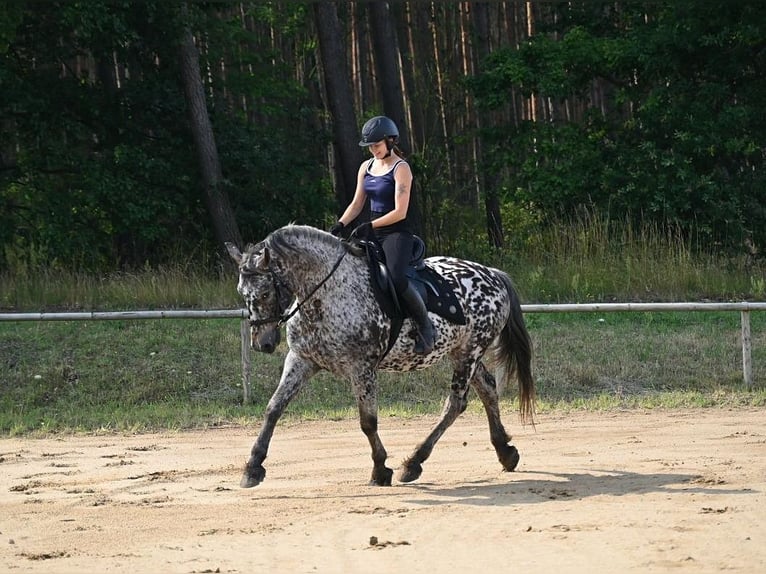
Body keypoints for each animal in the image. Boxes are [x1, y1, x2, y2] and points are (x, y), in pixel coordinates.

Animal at [226, 224, 535, 488]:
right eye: (241, 291)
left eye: (265, 292)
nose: (262, 343)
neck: (328, 294)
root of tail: (492, 274)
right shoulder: (301, 360)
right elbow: (273, 408)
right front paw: (253, 467)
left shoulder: (362, 368)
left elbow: (368, 421)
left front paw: (380, 469)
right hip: (462, 352)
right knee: (487, 389)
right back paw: (505, 452)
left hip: (469, 353)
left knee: (455, 403)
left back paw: (414, 463)